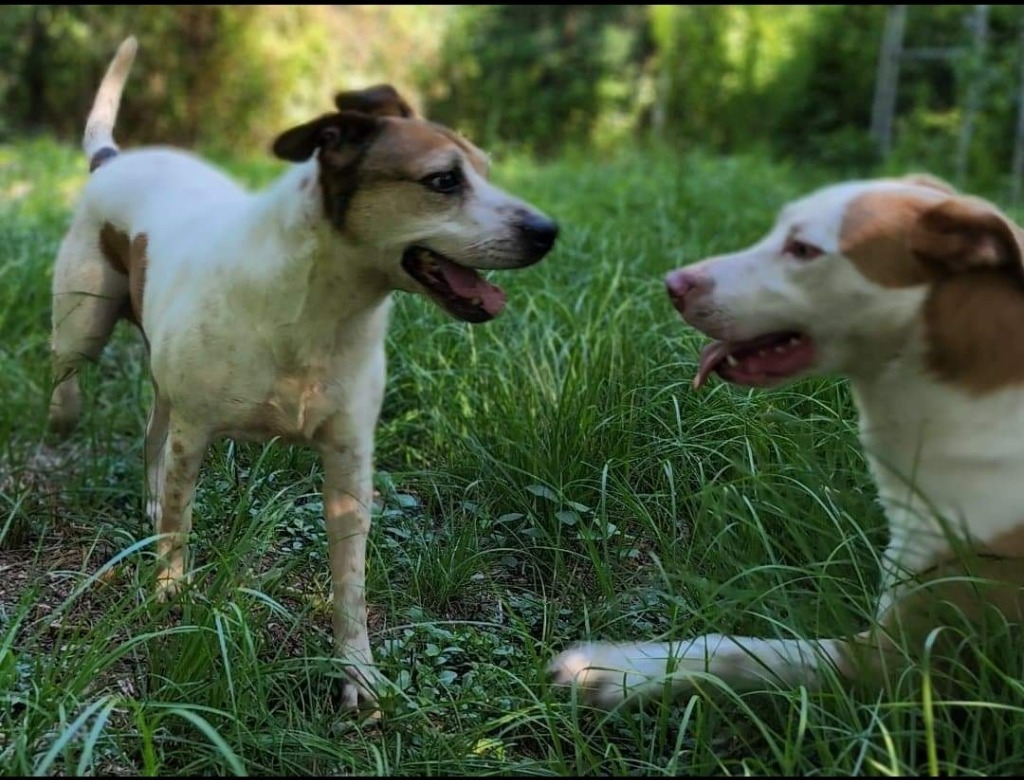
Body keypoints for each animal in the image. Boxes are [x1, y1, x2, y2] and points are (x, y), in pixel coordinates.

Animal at [48, 39, 561, 712]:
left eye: (487, 168)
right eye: (444, 180)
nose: (548, 231)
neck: (315, 310)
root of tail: (112, 160)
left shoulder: (348, 462)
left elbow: (350, 583)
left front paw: (358, 672)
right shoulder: (197, 432)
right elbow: (181, 525)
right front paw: (169, 592)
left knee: (152, 432)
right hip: (83, 322)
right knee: (70, 376)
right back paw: (65, 421)